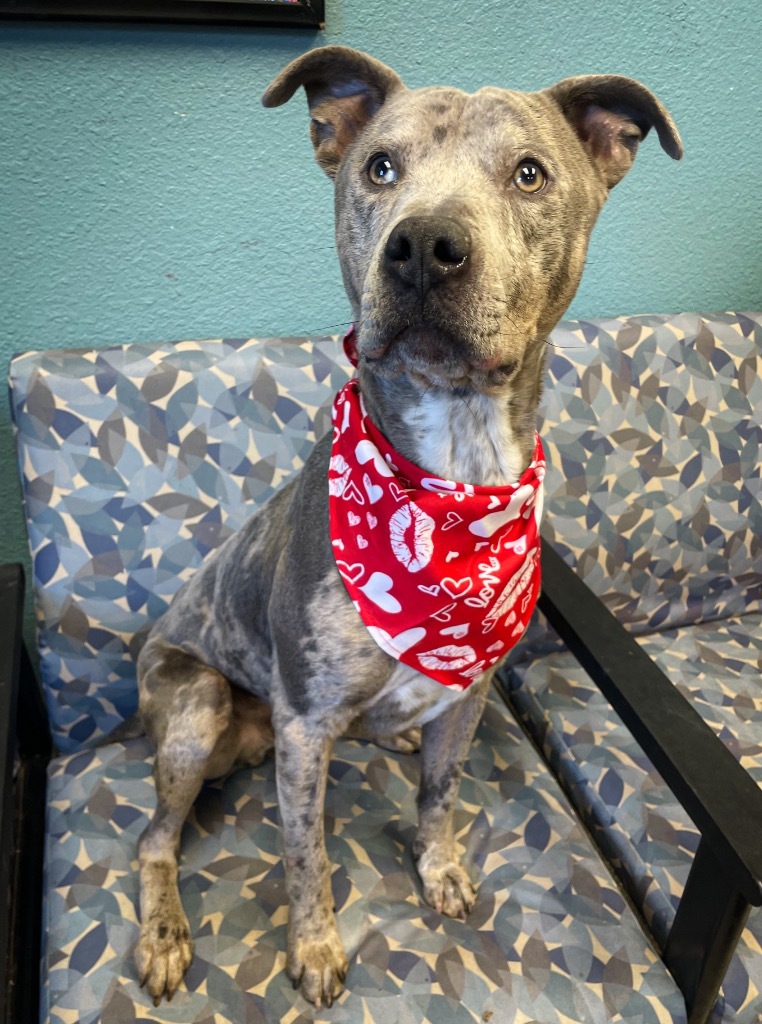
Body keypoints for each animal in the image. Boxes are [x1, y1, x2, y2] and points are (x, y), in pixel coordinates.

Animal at [132, 46, 684, 1007]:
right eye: (380, 168)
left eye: (530, 174)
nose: (424, 245)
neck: (452, 476)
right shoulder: (305, 727)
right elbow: (305, 854)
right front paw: (315, 947)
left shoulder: (466, 695)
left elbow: (441, 793)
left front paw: (439, 865)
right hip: (194, 708)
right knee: (155, 838)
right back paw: (164, 933)